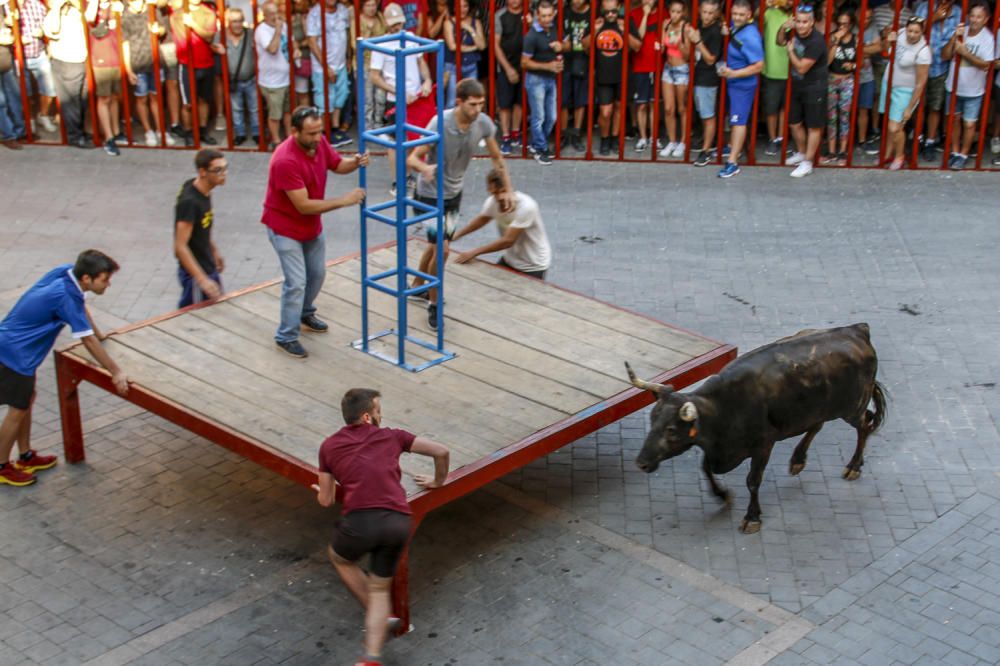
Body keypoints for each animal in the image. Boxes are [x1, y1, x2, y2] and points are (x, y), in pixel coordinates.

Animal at [628, 322, 888, 536]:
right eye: (652, 420)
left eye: (671, 430)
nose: (641, 463)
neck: (723, 407)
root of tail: (855, 330)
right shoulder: (717, 448)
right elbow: (705, 467)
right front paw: (722, 494)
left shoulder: (764, 444)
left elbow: (753, 480)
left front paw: (752, 518)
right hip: (817, 408)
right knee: (817, 424)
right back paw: (798, 460)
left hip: (851, 408)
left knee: (864, 426)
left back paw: (853, 466)